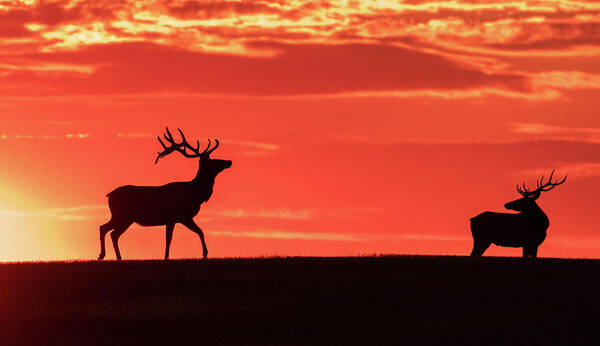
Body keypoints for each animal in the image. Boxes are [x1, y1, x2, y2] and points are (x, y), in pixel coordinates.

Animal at [97, 127, 231, 260]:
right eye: (213, 162)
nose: (229, 161)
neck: (195, 194)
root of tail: (109, 195)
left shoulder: (184, 218)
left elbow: (200, 231)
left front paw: (205, 253)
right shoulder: (174, 217)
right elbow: (169, 239)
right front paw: (166, 257)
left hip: (123, 217)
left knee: (108, 230)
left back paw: (109, 256)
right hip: (122, 215)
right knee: (110, 231)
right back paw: (108, 256)